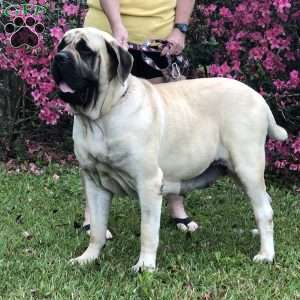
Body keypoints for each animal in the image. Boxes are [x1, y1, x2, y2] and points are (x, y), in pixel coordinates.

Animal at [51, 28, 288, 272]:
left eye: (85, 50)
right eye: (61, 45)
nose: (59, 58)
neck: (100, 117)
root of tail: (259, 98)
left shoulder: (148, 182)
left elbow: (147, 230)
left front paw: (145, 266)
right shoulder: (95, 183)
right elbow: (97, 229)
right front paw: (89, 257)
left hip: (247, 167)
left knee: (264, 211)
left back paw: (266, 254)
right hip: (239, 172)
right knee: (265, 203)